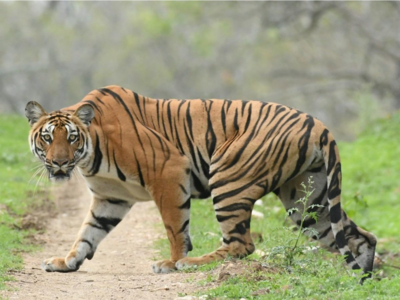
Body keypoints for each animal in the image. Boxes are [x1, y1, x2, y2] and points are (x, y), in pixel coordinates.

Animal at [25, 84, 376, 282]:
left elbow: (174, 227)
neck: (89, 153)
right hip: (308, 202)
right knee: (361, 237)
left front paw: (171, 262)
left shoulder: (169, 171)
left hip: (229, 178)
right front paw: (67, 262)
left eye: (71, 138)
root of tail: (317, 123)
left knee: (242, 244)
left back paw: (191, 264)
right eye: (47, 138)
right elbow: (87, 232)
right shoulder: (110, 198)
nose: (59, 163)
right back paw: (362, 282)